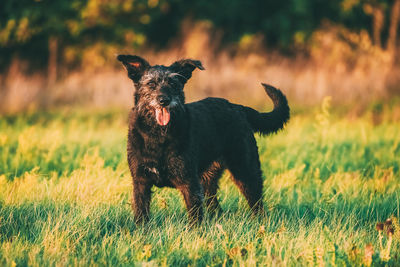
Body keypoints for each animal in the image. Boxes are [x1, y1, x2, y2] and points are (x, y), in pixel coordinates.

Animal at [117, 55, 290, 224]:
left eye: (173, 83)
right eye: (151, 84)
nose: (164, 100)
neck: (158, 135)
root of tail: (238, 107)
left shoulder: (189, 182)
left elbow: (195, 214)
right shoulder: (140, 182)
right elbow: (141, 213)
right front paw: (142, 230)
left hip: (245, 170)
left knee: (256, 201)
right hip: (209, 179)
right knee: (215, 205)